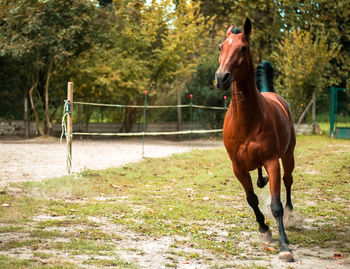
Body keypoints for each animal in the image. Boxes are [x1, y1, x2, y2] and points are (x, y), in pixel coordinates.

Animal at [216, 17, 296, 260]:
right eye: (221, 47)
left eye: (243, 48)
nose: (221, 78)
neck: (247, 119)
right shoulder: (238, 167)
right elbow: (251, 198)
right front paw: (263, 229)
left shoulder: (272, 161)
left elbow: (276, 205)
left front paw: (284, 246)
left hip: (288, 156)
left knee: (288, 181)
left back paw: (290, 215)